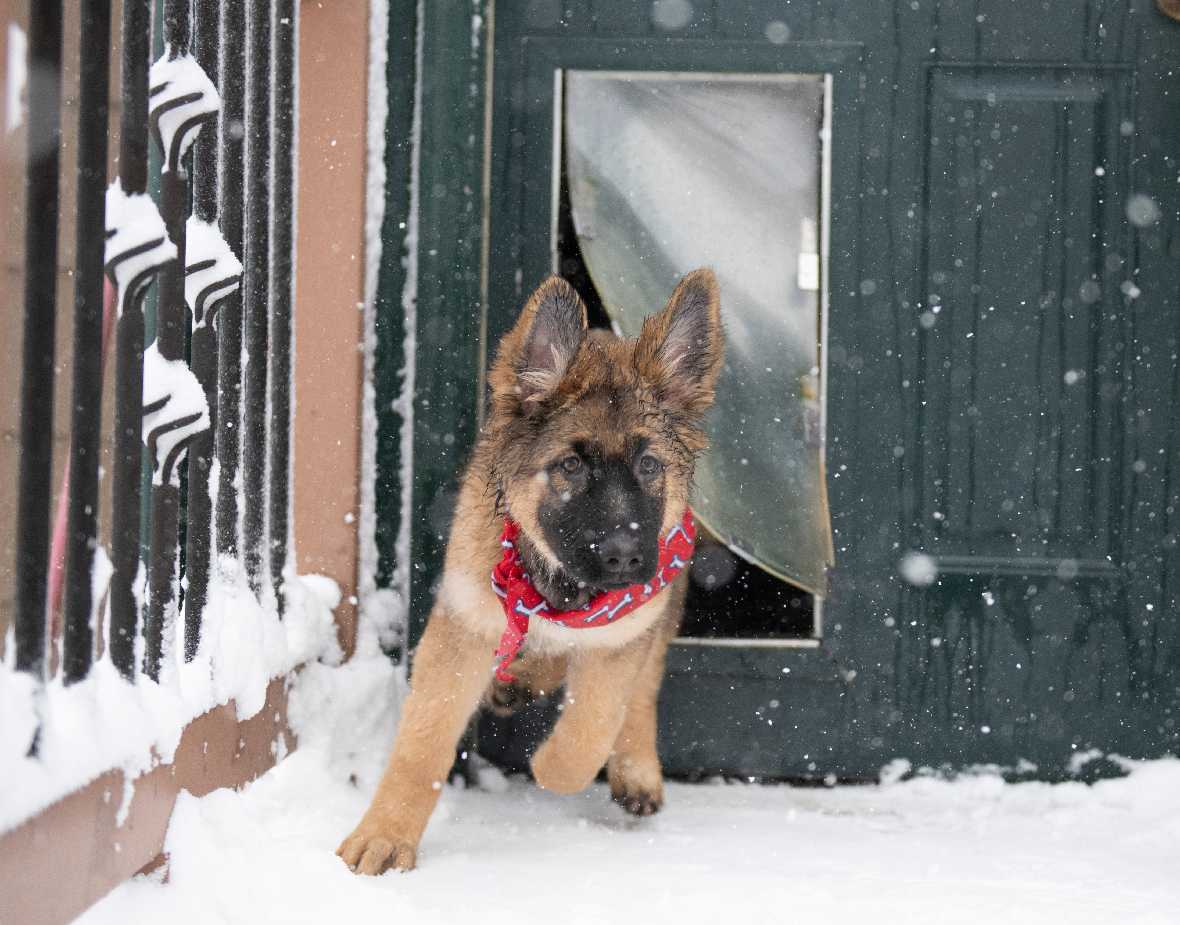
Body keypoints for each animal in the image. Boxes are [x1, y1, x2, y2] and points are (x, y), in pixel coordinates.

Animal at [337, 267, 722, 873]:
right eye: (569, 466)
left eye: (648, 464)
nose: (624, 557)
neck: (557, 588)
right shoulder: (464, 624)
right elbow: (423, 742)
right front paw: (385, 835)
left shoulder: (624, 631)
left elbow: (591, 730)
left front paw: (550, 765)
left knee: (644, 681)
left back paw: (633, 765)